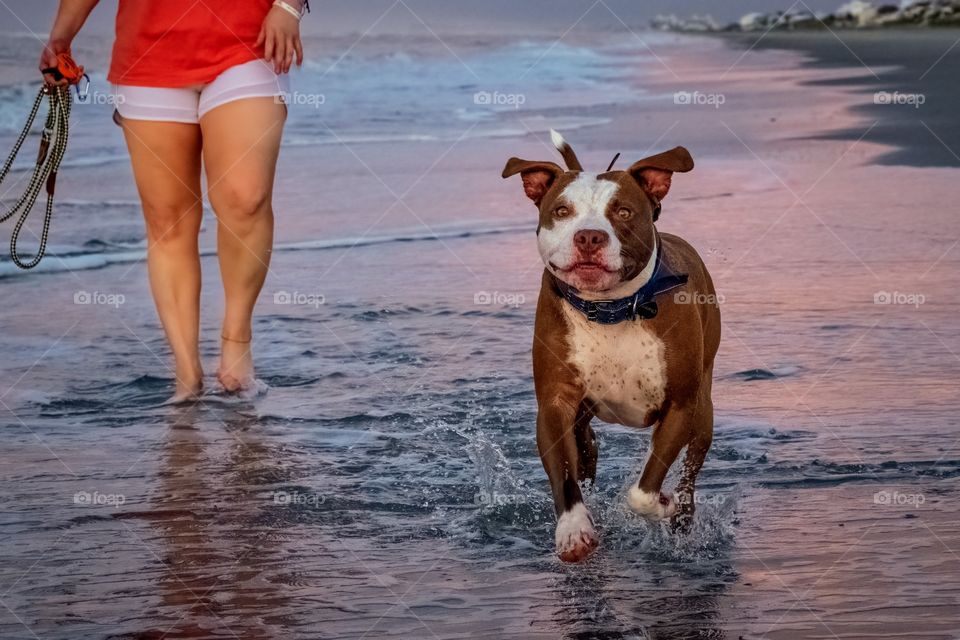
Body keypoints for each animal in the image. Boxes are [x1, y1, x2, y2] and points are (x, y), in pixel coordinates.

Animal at [502, 132, 720, 564]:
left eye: (622, 211)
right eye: (562, 210)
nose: (589, 236)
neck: (610, 311)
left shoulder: (681, 405)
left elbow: (643, 490)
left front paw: (664, 504)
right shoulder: (554, 405)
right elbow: (563, 475)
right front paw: (573, 530)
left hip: (703, 411)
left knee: (690, 471)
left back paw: (682, 516)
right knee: (585, 447)